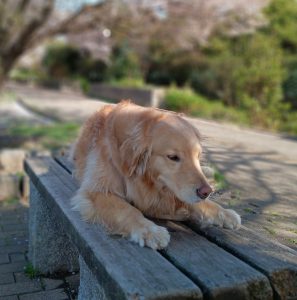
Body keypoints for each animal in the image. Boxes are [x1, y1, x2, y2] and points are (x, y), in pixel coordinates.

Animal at [70, 102, 240, 250]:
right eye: (173, 157)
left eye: (198, 156)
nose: (206, 192)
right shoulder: (96, 191)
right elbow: (127, 210)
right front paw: (150, 230)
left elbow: (197, 203)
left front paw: (224, 213)